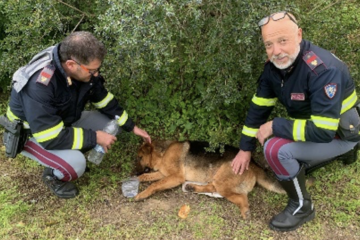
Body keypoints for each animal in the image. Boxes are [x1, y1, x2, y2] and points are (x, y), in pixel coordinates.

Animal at [135, 141, 284, 219]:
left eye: (140, 157)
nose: (134, 171)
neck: (162, 154)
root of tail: (252, 163)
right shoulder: (162, 173)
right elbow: (146, 177)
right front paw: (137, 179)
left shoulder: (175, 177)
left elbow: (154, 184)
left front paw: (142, 194)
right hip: (217, 179)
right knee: (212, 187)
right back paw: (192, 187)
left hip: (223, 182)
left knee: (242, 198)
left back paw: (245, 212)